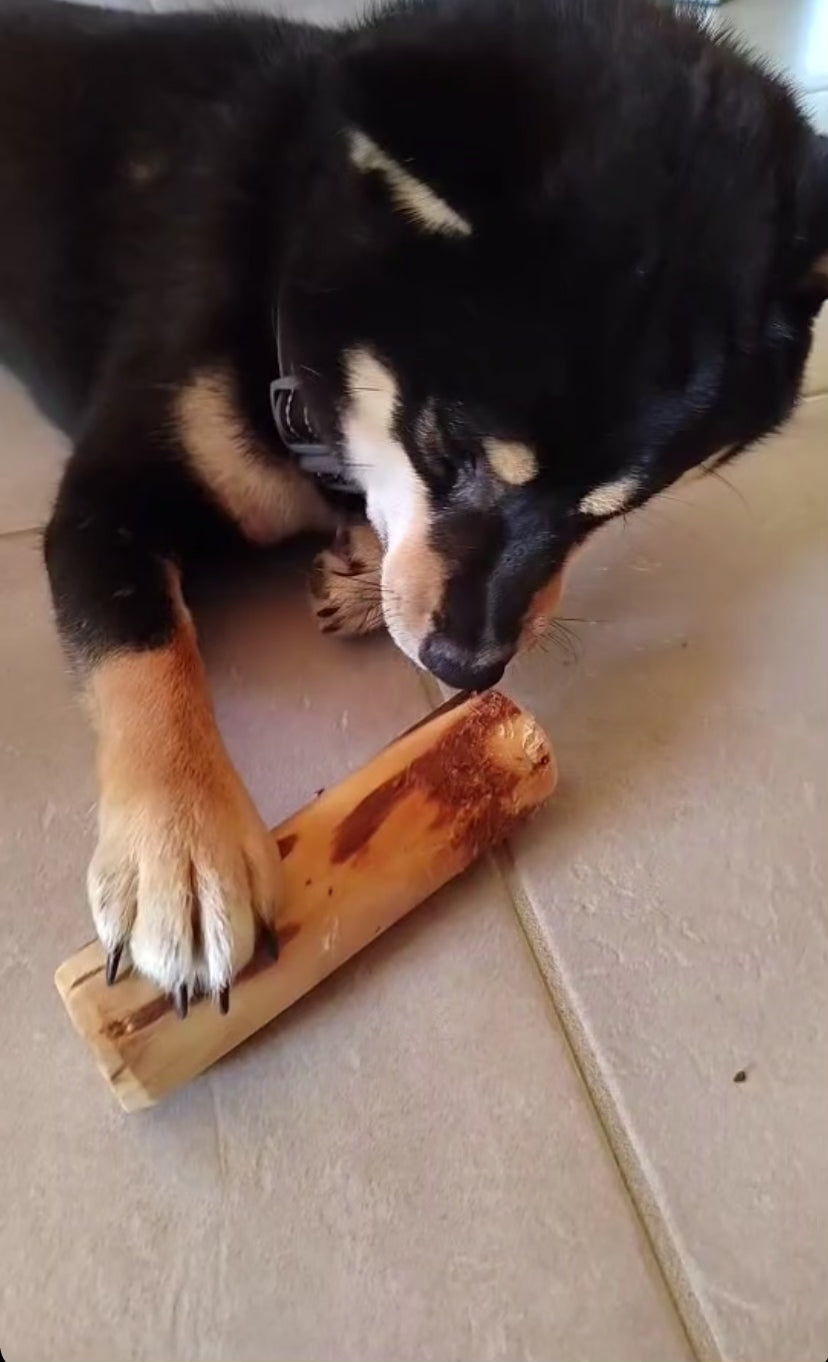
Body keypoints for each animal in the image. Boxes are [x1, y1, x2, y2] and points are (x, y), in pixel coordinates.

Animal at [0, 0, 822, 1013]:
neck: (281, 259)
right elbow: (142, 651)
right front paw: (181, 853)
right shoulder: (106, 498)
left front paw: (360, 571)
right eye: (447, 447)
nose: (466, 668)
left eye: (607, 513)